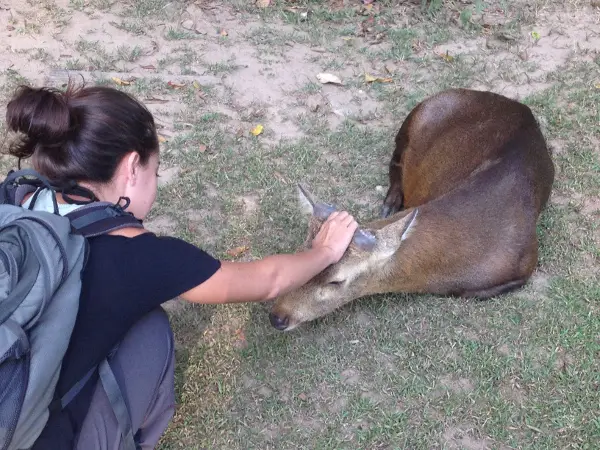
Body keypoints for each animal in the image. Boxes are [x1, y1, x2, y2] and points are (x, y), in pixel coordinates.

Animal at [270, 89, 556, 334]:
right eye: (302, 255)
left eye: (336, 281)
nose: (277, 317)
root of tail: (519, 106)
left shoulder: (525, 266)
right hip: (419, 113)